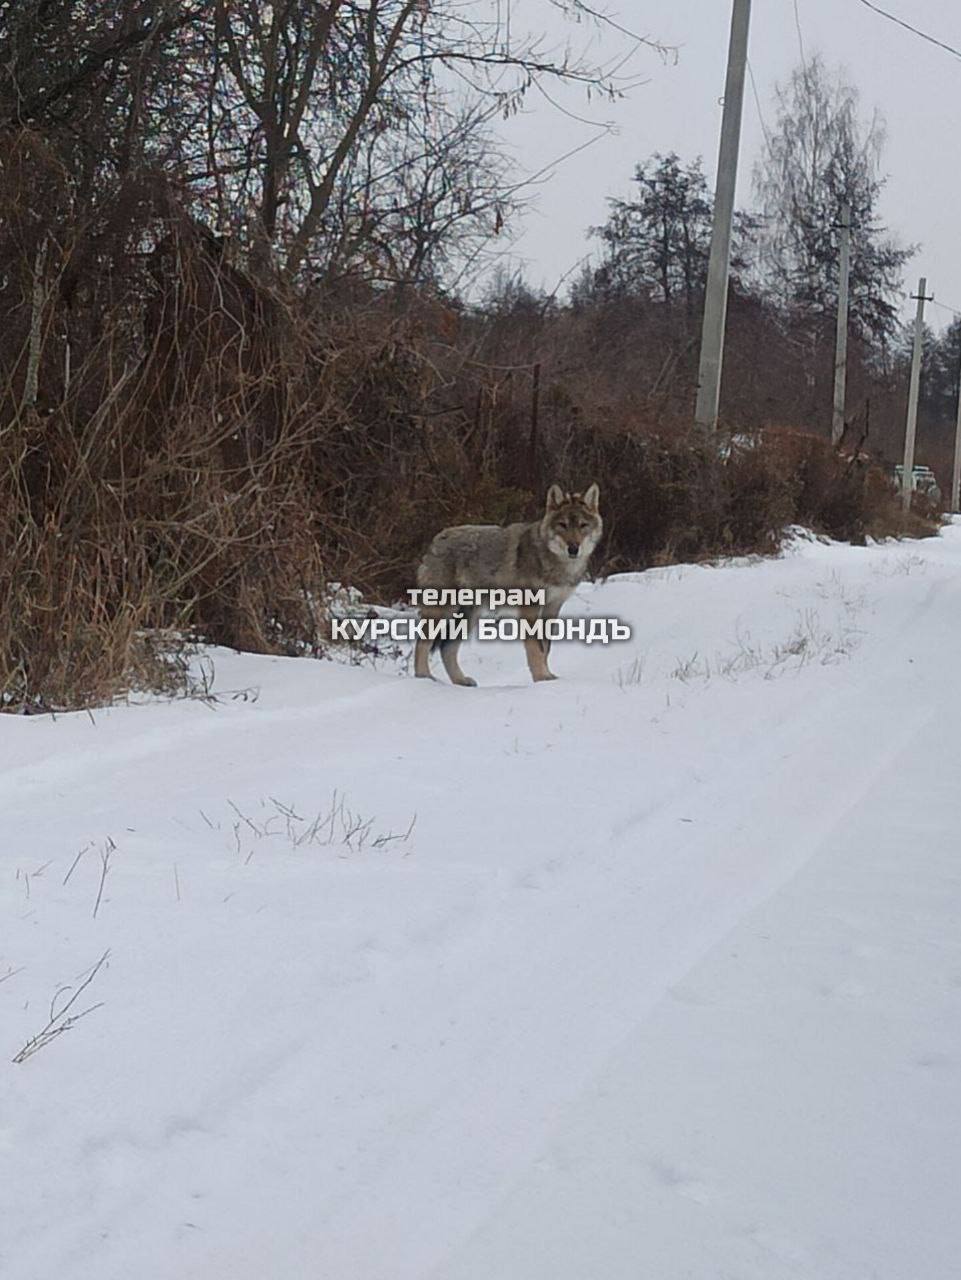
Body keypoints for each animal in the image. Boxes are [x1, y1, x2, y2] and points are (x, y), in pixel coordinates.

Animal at [414, 481, 601, 686]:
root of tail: (436, 540)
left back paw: (460, 681)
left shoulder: (552, 608)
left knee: (446, 647)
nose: (573, 548)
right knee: (421, 644)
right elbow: (535, 648)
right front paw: (541, 678)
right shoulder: (529, 608)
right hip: (441, 611)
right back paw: (424, 678)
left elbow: (545, 648)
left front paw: (548, 679)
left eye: (583, 525)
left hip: (470, 616)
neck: (556, 564)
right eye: (563, 525)